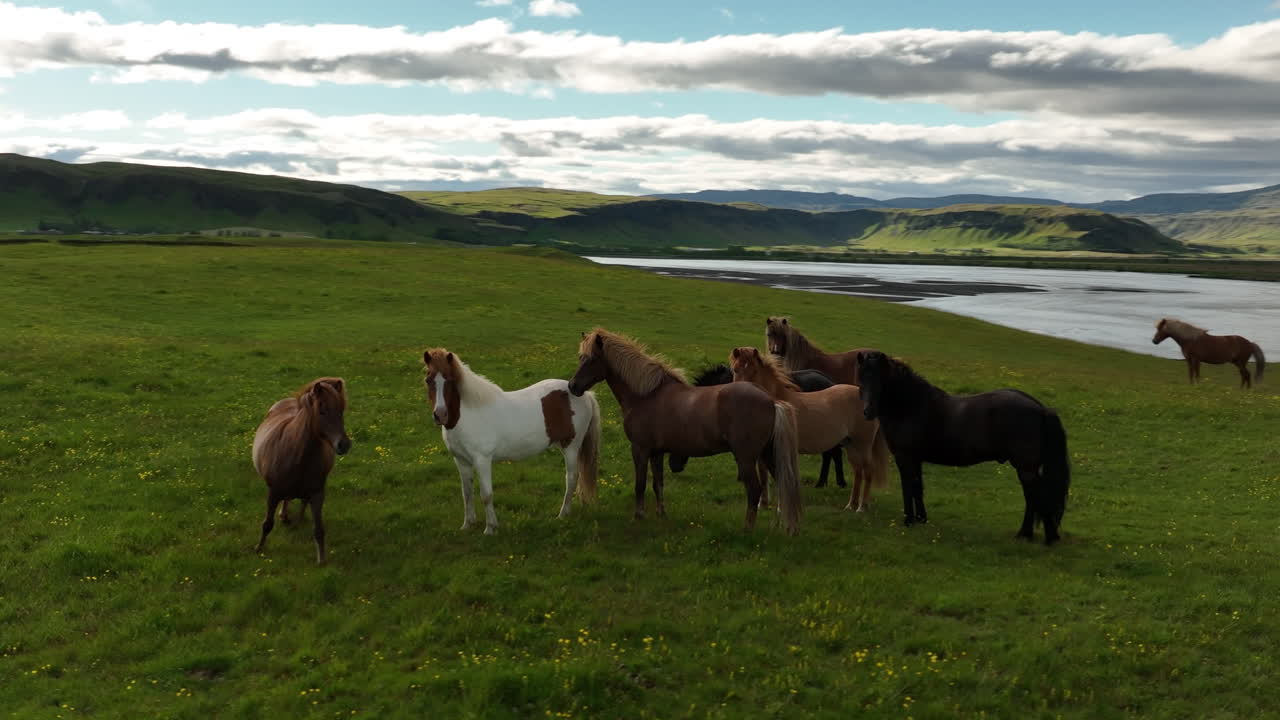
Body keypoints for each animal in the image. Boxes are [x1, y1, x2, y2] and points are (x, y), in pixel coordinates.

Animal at [252, 377, 351, 564]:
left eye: (341, 409)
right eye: (322, 410)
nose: (344, 445)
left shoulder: (318, 493)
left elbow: (319, 529)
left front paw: (321, 560)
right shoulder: (273, 492)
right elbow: (267, 524)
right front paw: (259, 548)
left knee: (301, 501)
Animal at [424, 349, 601, 535]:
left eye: (450, 380)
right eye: (428, 380)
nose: (440, 415)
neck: (467, 414)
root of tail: (585, 395)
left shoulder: (482, 460)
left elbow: (486, 495)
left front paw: (490, 528)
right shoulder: (461, 460)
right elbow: (467, 493)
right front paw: (467, 524)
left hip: (571, 447)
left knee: (572, 478)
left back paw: (563, 514)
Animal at [567, 328, 803, 534]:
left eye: (592, 359)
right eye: (580, 357)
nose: (573, 386)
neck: (646, 395)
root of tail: (771, 401)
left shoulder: (640, 449)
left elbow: (640, 484)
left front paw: (638, 516)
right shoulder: (657, 452)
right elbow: (658, 484)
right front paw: (661, 514)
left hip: (746, 458)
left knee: (754, 491)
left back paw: (747, 529)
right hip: (769, 455)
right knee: (784, 487)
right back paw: (786, 527)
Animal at [730, 347, 890, 512]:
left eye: (754, 371)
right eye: (735, 369)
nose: (741, 395)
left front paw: (781, 508)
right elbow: (763, 475)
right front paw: (763, 504)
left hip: (863, 445)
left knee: (868, 471)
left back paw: (862, 507)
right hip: (850, 445)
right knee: (858, 471)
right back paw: (851, 505)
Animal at [857, 351, 1070, 545]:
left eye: (880, 381)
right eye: (861, 381)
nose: (867, 412)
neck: (911, 406)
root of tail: (1041, 409)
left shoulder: (905, 458)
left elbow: (908, 487)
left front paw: (908, 520)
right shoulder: (916, 459)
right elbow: (918, 487)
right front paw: (921, 519)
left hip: (1026, 468)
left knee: (1035, 497)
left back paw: (1042, 537)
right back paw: (1029, 535)